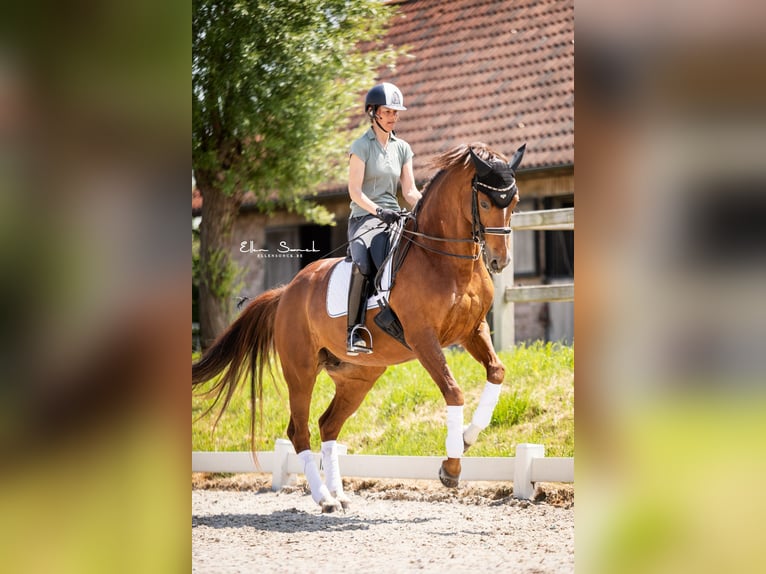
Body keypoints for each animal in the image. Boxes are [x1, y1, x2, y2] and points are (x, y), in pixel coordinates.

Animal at [193, 141, 525, 512]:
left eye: (514, 201)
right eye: (485, 203)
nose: (499, 261)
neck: (445, 260)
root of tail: (287, 291)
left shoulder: (472, 330)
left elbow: (497, 372)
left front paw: (467, 438)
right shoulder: (423, 338)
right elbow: (453, 391)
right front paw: (450, 468)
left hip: (358, 376)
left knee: (328, 425)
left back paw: (338, 493)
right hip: (300, 371)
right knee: (299, 431)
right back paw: (324, 499)